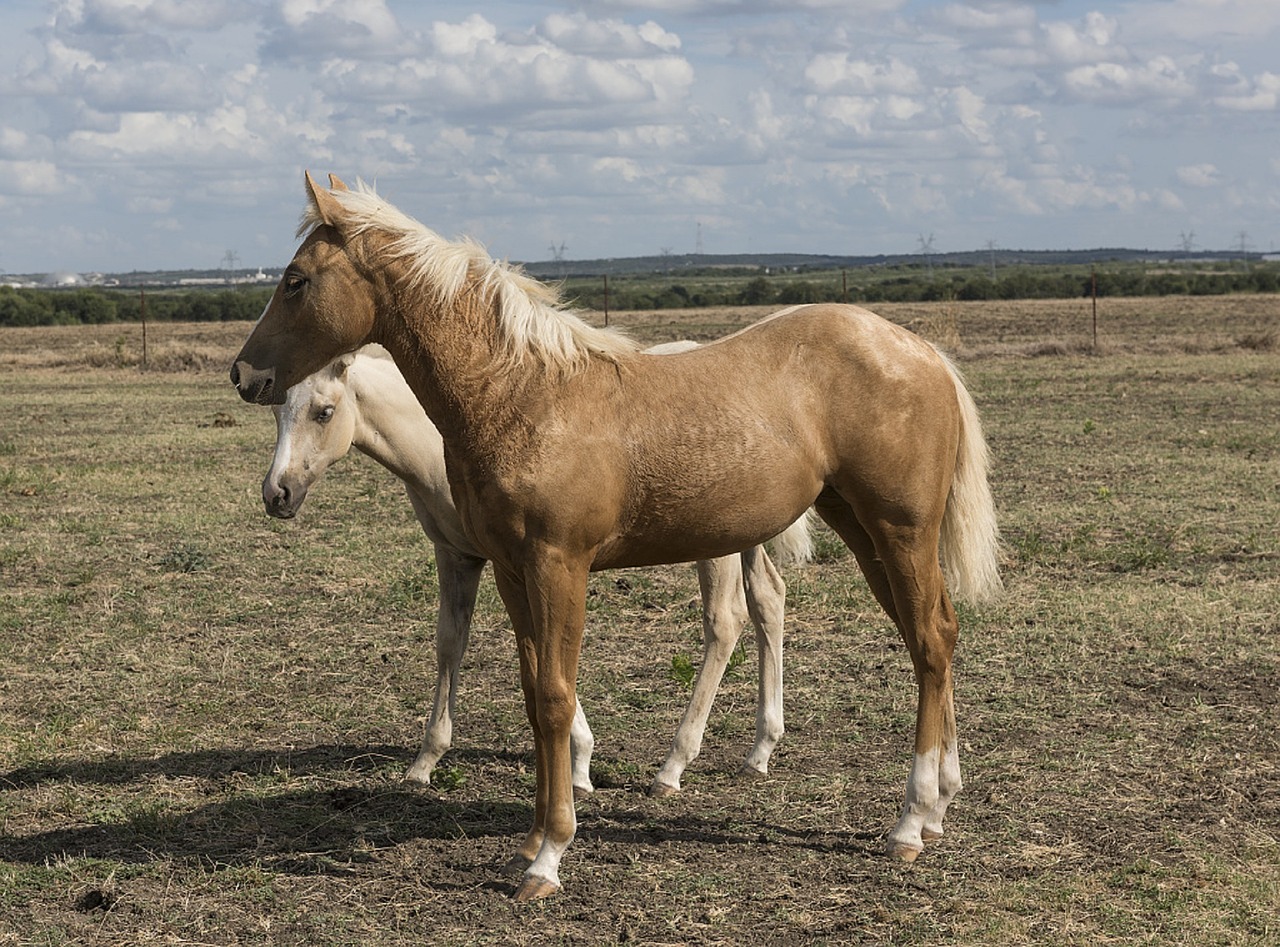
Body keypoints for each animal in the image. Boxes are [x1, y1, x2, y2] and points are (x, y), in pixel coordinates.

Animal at [266, 342, 814, 793]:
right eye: (277, 410)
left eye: (324, 411)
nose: (277, 494)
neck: (443, 437)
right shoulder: (456, 555)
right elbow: (451, 641)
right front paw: (425, 762)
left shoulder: (524, 557)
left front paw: (580, 765)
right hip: (745, 534)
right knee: (769, 598)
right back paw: (760, 751)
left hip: (714, 544)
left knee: (724, 621)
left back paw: (673, 766)